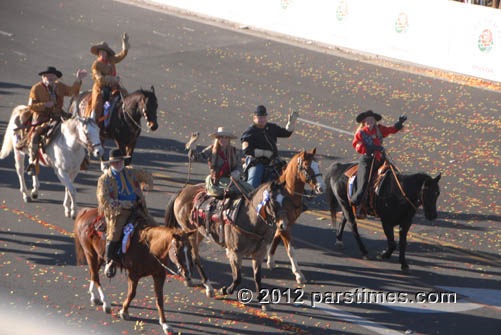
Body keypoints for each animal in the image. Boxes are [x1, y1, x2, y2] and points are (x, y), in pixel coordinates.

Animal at [162, 181, 292, 310]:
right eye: (273, 201)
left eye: (286, 199)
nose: (284, 225)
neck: (249, 221)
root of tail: (183, 190)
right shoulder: (234, 253)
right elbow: (238, 278)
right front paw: (224, 290)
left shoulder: (259, 253)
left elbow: (257, 277)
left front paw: (264, 302)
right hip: (190, 232)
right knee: (195, 257)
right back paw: (208, 286)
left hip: (198, 233)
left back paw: (188, 278)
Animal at [266, 148, 324, 284]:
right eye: (307, 166)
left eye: (317, 165)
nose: (321, 187)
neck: (287, 194)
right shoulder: (283, 224)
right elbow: (290, 249)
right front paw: (298, 273)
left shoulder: (287, 223)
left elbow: (276, 237)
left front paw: (270, 260)